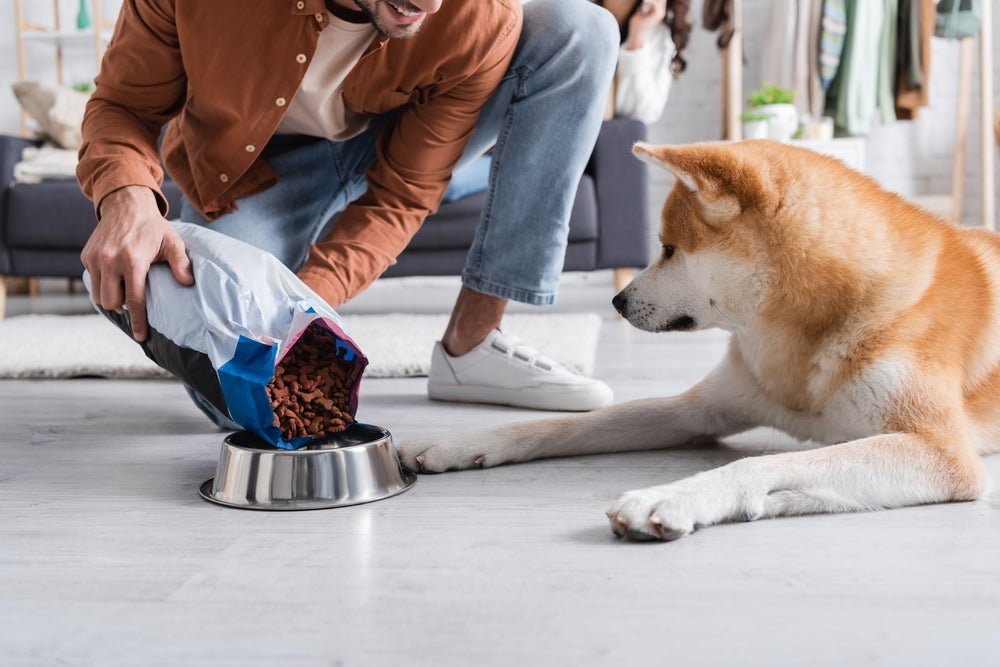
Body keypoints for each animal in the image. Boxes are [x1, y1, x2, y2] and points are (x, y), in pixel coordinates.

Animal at [394, 141, 996, 544]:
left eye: (668, 249)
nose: (617, 302)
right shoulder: (701, 409)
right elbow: (561, 426)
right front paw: (455, 443)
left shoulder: (942, 453)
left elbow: (763, 464)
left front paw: (675, 496)